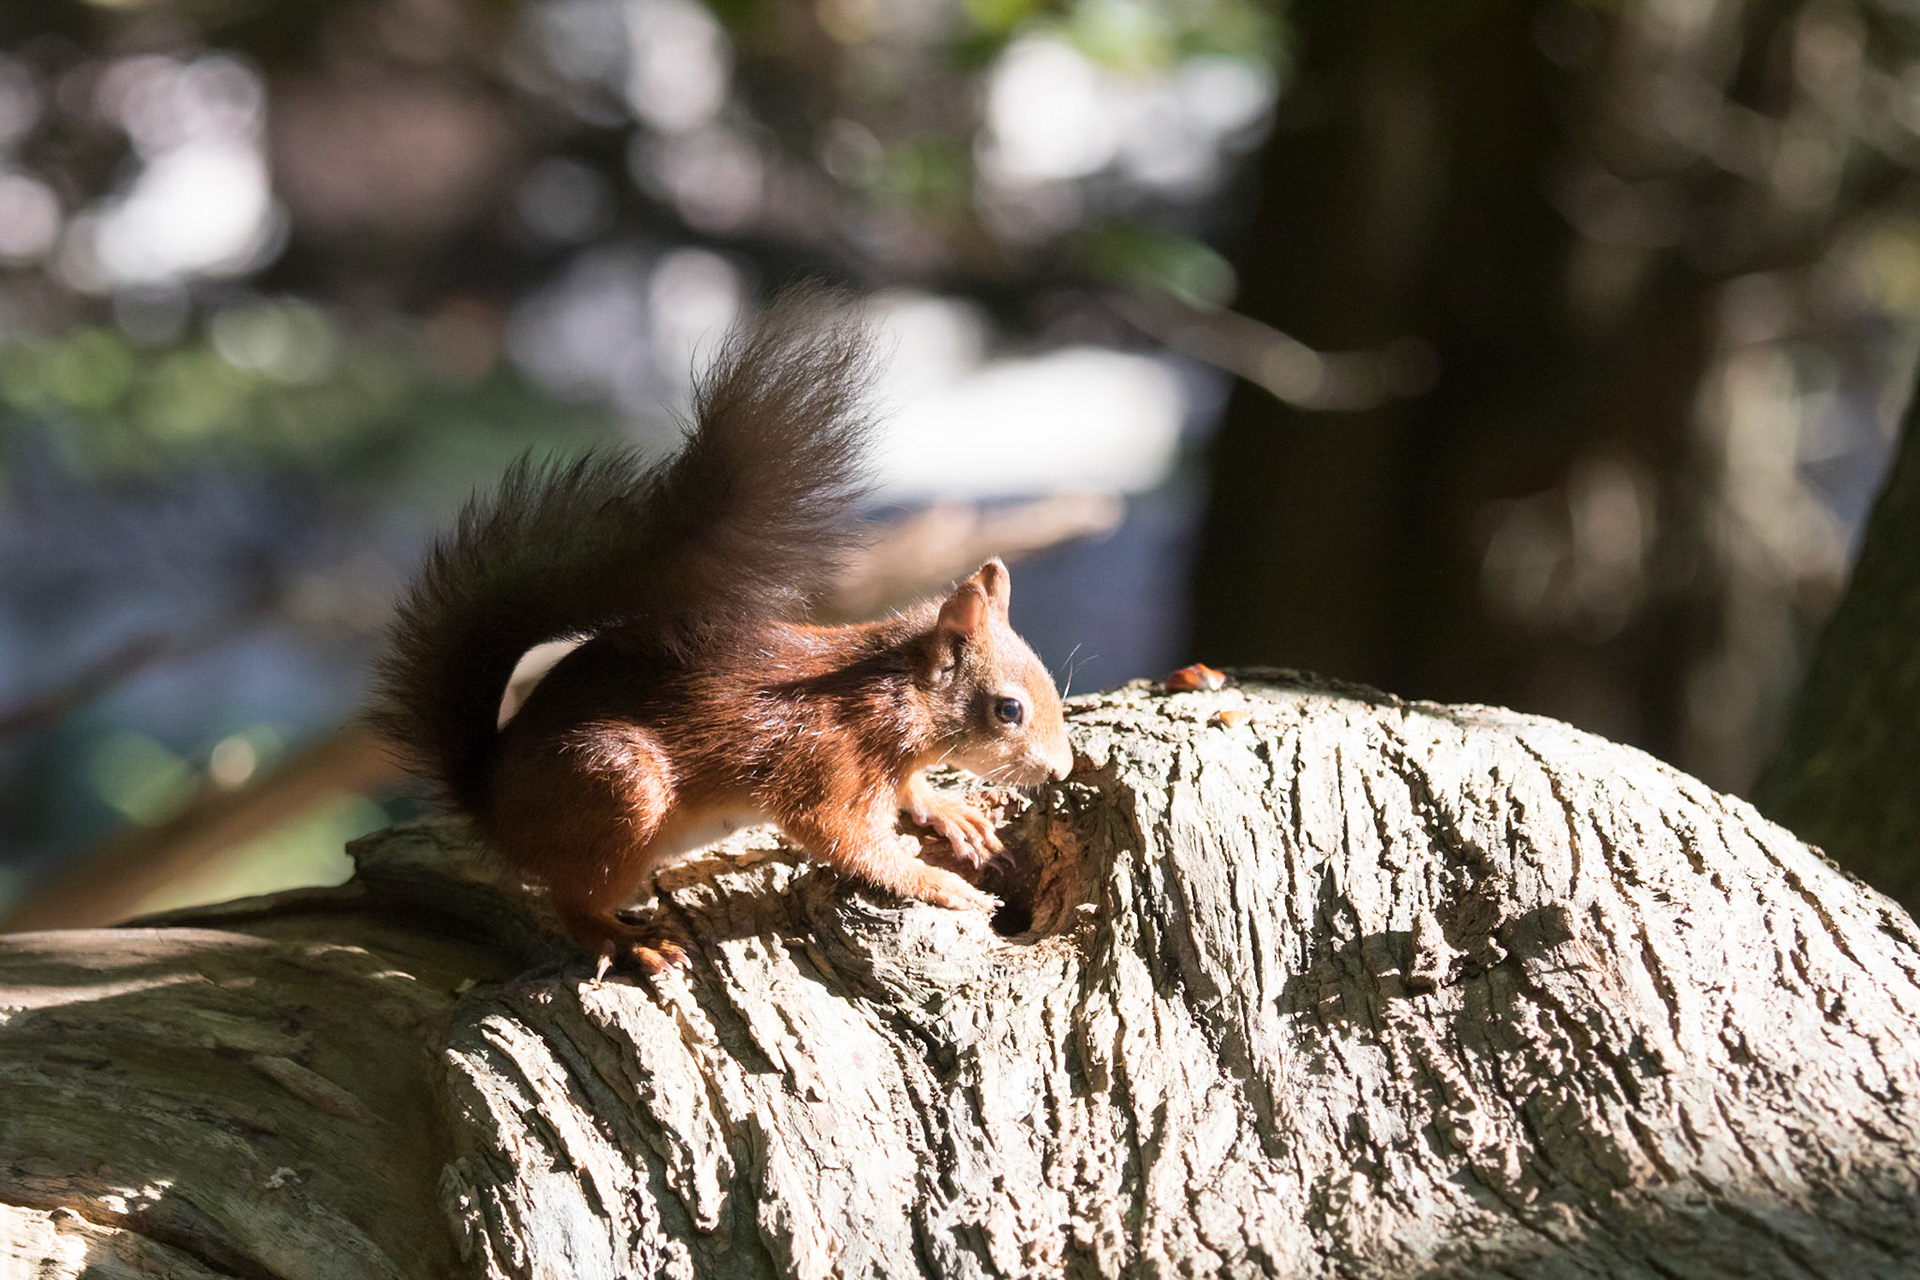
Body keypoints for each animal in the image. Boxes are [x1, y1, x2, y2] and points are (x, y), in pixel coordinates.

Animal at [374, 286, 1074, 976]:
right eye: (1008, 709)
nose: (1061, 769)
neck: (888, 694)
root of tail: (492, 805)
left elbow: (908, 790)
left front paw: (949, 811)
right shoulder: (827, 763)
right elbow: (846, 841)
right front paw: (938, 883)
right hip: (616, 788)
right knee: (572, 902)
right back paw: (626, 942)